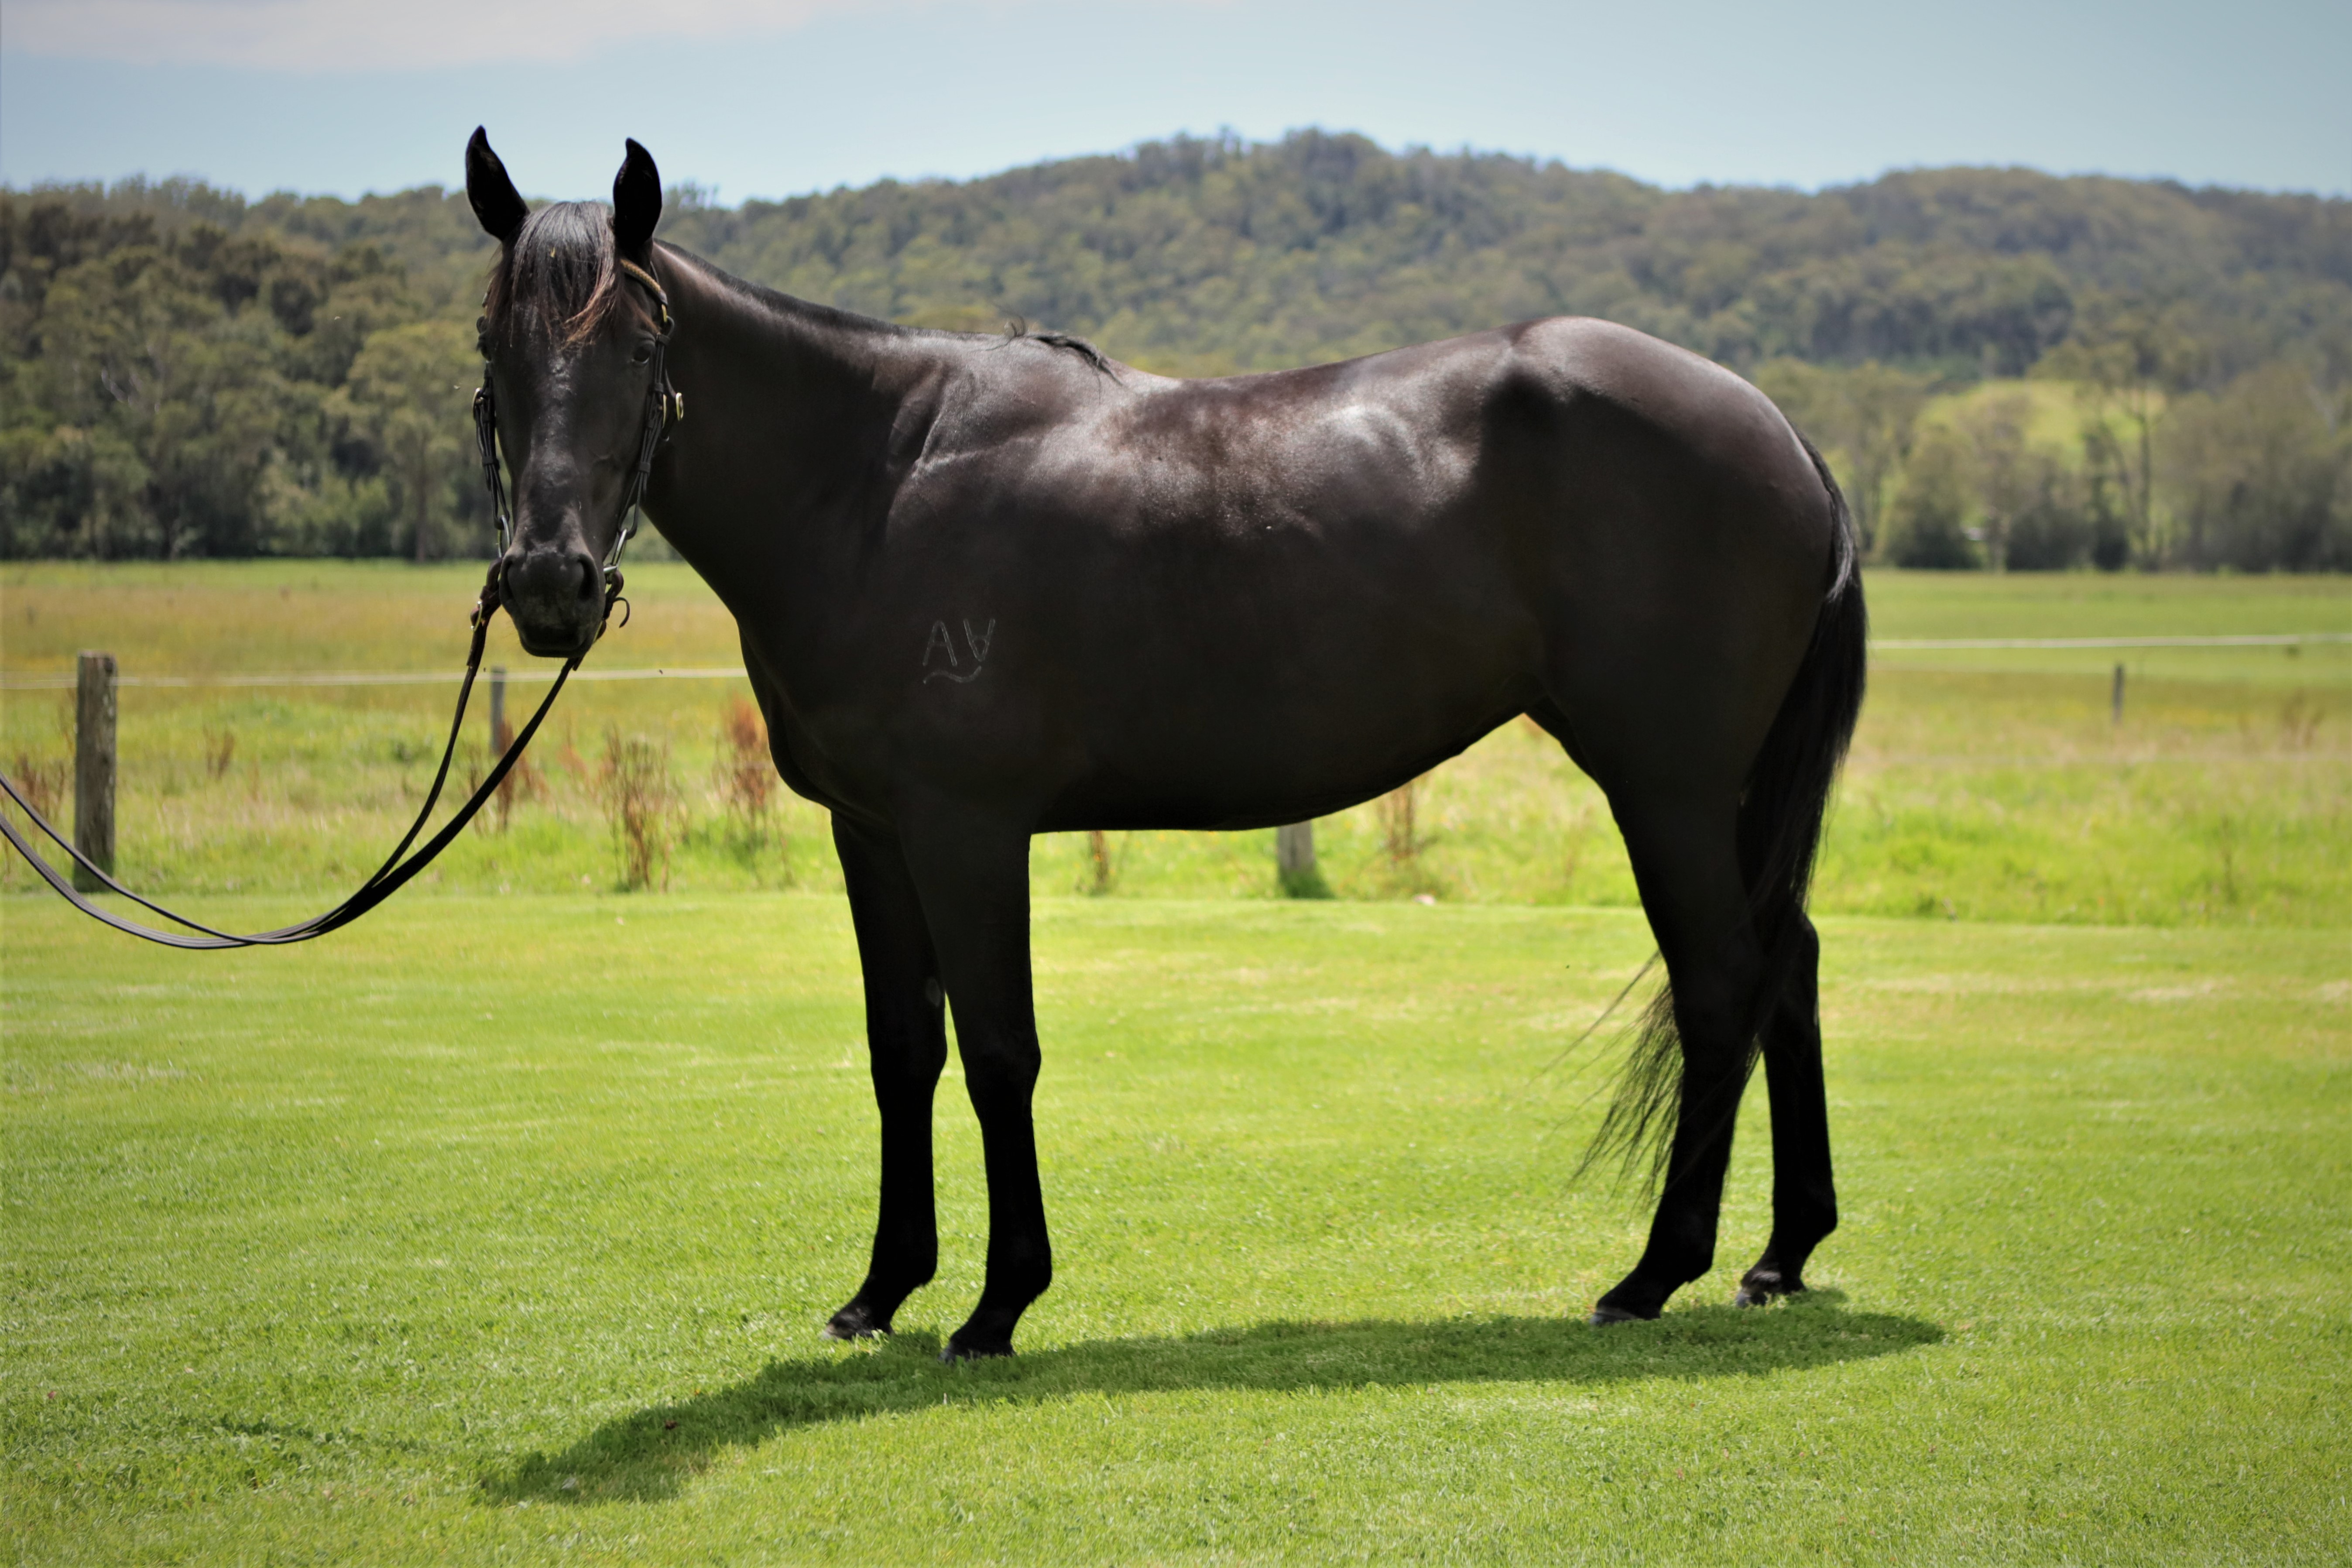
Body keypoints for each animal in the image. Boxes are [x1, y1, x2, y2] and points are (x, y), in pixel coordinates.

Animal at [464, 130, 1866, 1359]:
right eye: (493, 343)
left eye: (643, 342)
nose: (548, 585)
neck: (878, 480)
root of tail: (1781, 432)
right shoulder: (872, 833)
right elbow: (902, 1051)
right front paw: (882, 1291)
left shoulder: (966, 831)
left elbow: (999, 1053)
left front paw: (996, 1306)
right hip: (1723, 796)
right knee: (1788, 964)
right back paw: (1779, 1254)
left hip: (1667, 787)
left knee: (1722, 983)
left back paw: (1653, 1274)